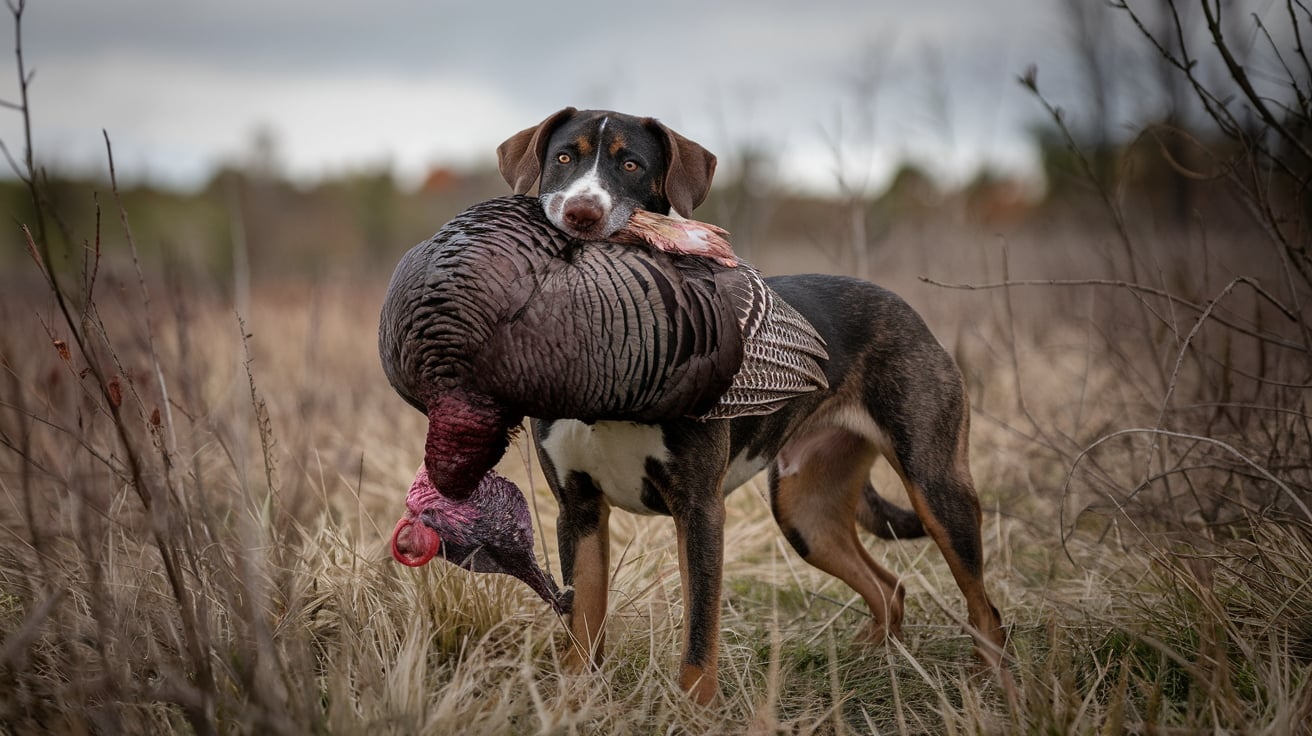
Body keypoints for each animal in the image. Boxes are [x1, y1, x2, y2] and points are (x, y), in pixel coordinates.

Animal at [495, 107, 1007, 697]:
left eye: (631, 165)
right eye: (563, 157)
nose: (581, 212)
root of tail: (904, 306)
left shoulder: (699, 509)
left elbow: (700, 630)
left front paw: (693, 707)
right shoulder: (577, 510)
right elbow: (583, 622)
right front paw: (574, 698)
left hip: (934, 484)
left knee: (984, 606)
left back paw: (991, 684)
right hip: (805, 512)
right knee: (888, 588)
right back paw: (866, 662)